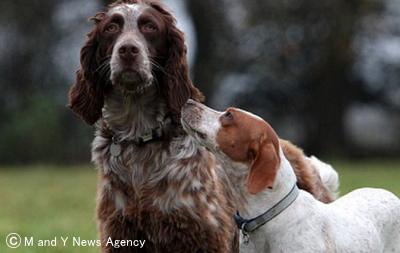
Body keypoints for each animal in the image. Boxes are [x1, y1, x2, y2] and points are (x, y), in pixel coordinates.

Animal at [68, 0, 334, 252]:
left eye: (150, 27)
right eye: (111, 28)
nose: (127, 50)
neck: (141, 142)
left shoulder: (206, 235)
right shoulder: (121, 234)